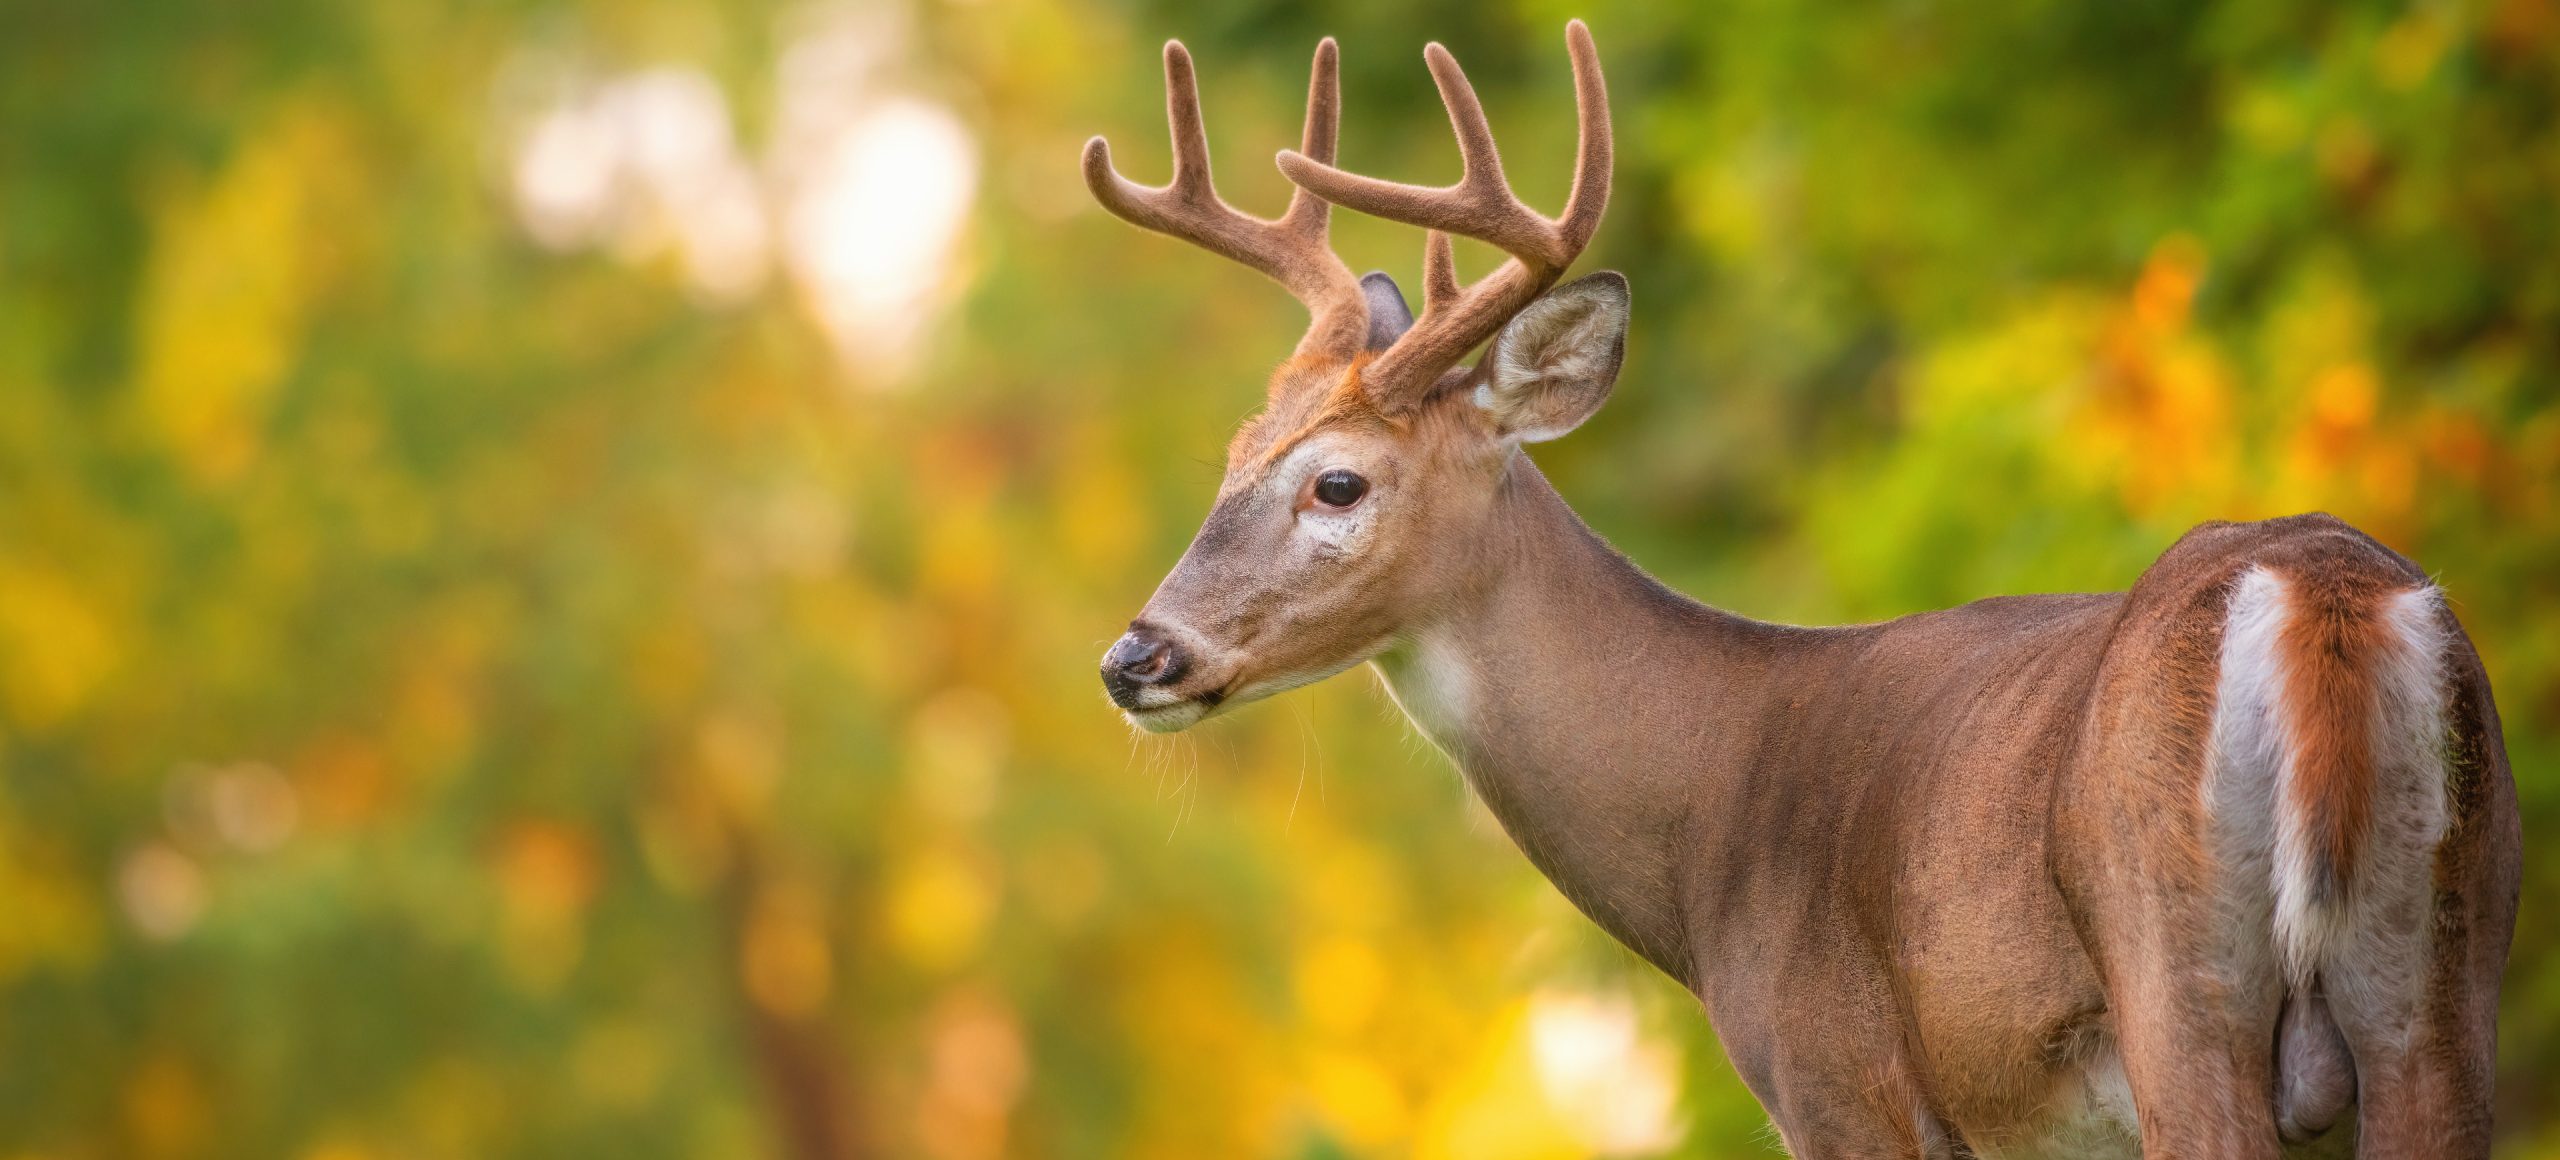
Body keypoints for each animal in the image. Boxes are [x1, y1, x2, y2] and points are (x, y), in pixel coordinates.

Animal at [1080, 22, 2519, 1152]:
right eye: (1232, 457)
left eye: (1337, 483)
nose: (1135, 657)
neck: (1716, 812)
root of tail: (2320, 591)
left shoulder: (1838, 1081)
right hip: (2444, 980)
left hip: (2178, 981)